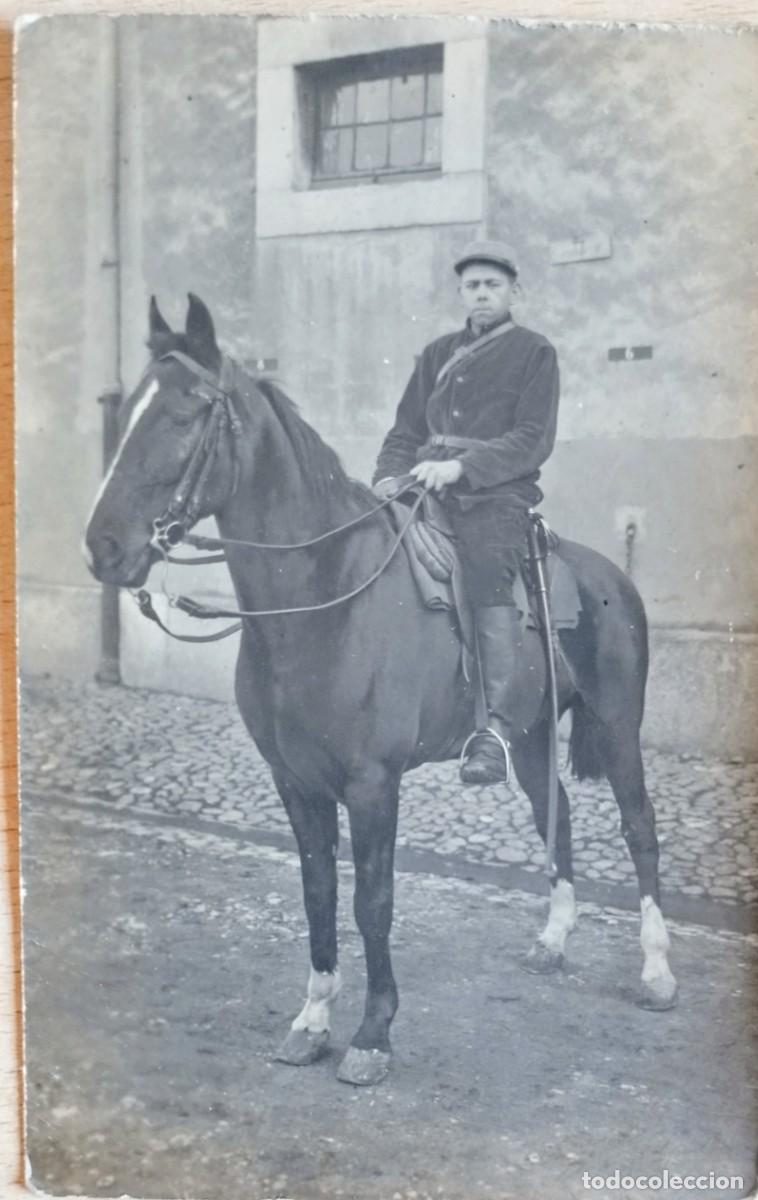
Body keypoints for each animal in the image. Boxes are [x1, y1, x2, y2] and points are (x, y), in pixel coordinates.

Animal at [84, 293, 678, 1087]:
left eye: (183, 414)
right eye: (127, 412)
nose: (103, 548)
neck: (323, 595)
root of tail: (609, 576)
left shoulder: (372, 784)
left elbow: (373, 901)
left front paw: (372, 1034)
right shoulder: (295, 782)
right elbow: (318, 894)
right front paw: (311, 1021)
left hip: (617, 728)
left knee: (639, 830)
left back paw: (656, 971)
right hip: (526, 739)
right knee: (559, 816)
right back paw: (554, 940)